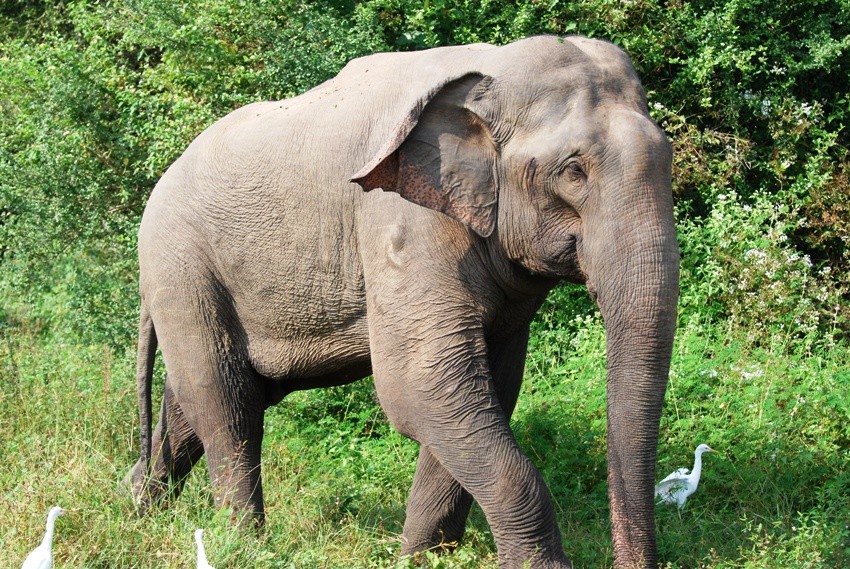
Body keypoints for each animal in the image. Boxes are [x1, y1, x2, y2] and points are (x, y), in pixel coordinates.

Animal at [126, 35, 680, 568]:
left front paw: (419, 558)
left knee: (198, 403)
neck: (491, 68)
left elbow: (483, 387)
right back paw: (245, 546)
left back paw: (135, 505)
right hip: (183, 268)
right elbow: (421, 383)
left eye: (671, 159)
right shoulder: (401, 219)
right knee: (226, 403)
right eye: (573, 172)